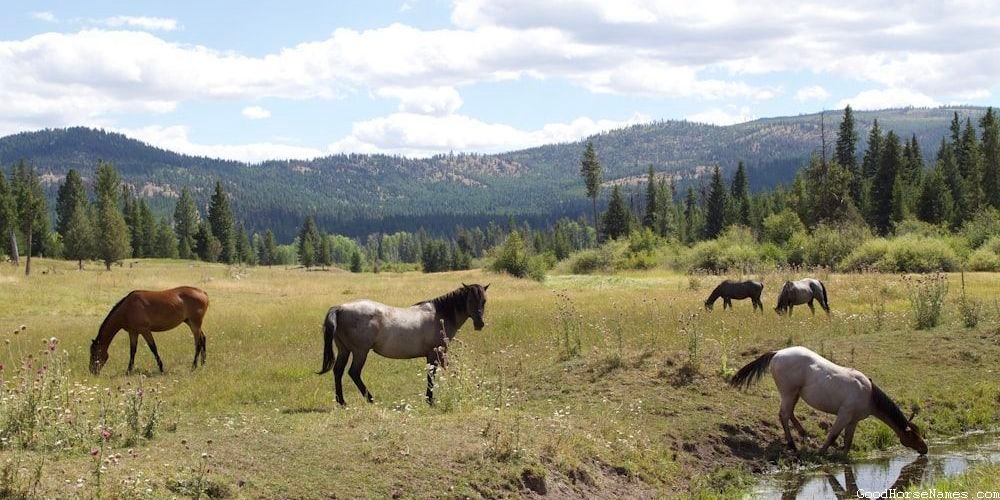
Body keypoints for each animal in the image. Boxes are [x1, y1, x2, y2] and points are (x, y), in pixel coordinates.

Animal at [316, 282, 488, 406]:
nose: (480, 324)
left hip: (344, 350)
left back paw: (342, 402)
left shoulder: (434, 355)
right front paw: (430, 400)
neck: (440, 315)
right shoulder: (435, 353)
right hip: (360, 352)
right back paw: (370, 399)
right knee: (354, 372)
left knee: (338, 371)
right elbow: (432, 375)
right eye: (470, 300)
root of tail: (340, 308)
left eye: (484, 301)